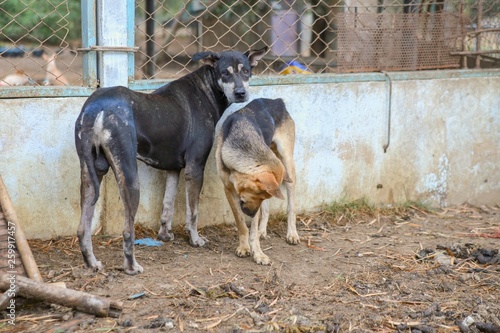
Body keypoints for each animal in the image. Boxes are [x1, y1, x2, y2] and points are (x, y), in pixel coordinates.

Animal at [73, 48, 266, 274]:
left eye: (246, 71)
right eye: (225, 73)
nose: (240, 93)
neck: (207, 89)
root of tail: (96, 108)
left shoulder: (173, 170)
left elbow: (168, 205)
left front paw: (164, 235)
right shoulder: (194, 168)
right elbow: (193, 213)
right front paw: (195, 240)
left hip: (90, 177)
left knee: (82, 229)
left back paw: (92, 263)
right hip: (130, 179)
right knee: (127, 231)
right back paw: (131, 266)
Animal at [216, 97, 300, 264]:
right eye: (259, 195)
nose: (251, 213)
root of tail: (277, 101)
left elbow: (252, 230)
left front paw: (258, 253)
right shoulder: (228, 189)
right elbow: (241, 223)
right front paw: (244, 247)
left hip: (288, 164)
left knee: (291, 206)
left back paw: (292, 233)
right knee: (266, 211)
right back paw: (263, 230)